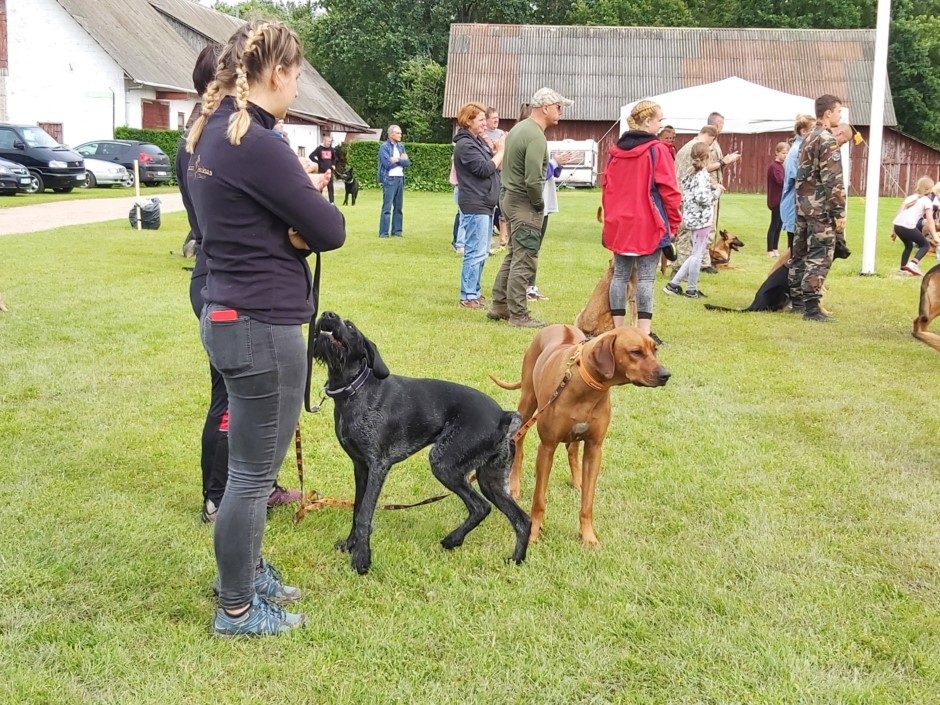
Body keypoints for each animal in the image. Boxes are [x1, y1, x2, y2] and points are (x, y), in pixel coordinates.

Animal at [492, 324, 668, 544]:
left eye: (655, 349)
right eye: (635, 352)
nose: (666, 374)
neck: (587, 385)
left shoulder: (595, 448)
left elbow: (588, 502)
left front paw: (588, 536)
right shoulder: (547, 447)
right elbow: (538, 498)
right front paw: (533, 533)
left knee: (572, 449)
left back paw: (578, 481)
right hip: (527, 402)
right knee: (520, 443)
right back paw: (514, 486)